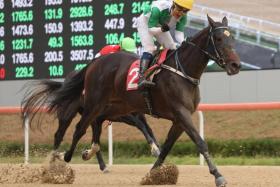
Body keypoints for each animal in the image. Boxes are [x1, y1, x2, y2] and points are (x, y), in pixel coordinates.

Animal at [21, 74, 161, 172]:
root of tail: (64, 84)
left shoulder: (136, 115)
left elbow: (148, 129)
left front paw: (158, 151)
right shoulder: (122, 115)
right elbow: (141, 126)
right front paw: (154, 149)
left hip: (93, 119)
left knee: (94, 140)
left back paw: (102, 166)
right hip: (68, 114)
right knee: (59, 135)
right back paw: (53, 162)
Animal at [37, 15, 241, 186]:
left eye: (232, 39)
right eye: (219, 39)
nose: (236, 65)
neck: (182, 72)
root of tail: (94, 63)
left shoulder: (178, 119)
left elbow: (166, 147)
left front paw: (152, 175)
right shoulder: (181, 113)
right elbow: (200, 142)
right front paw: (218, 175)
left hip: (115, 108)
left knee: (94, 130)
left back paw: (88, 155)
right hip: (92, 104)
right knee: (75, 130)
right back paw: (62, 160)